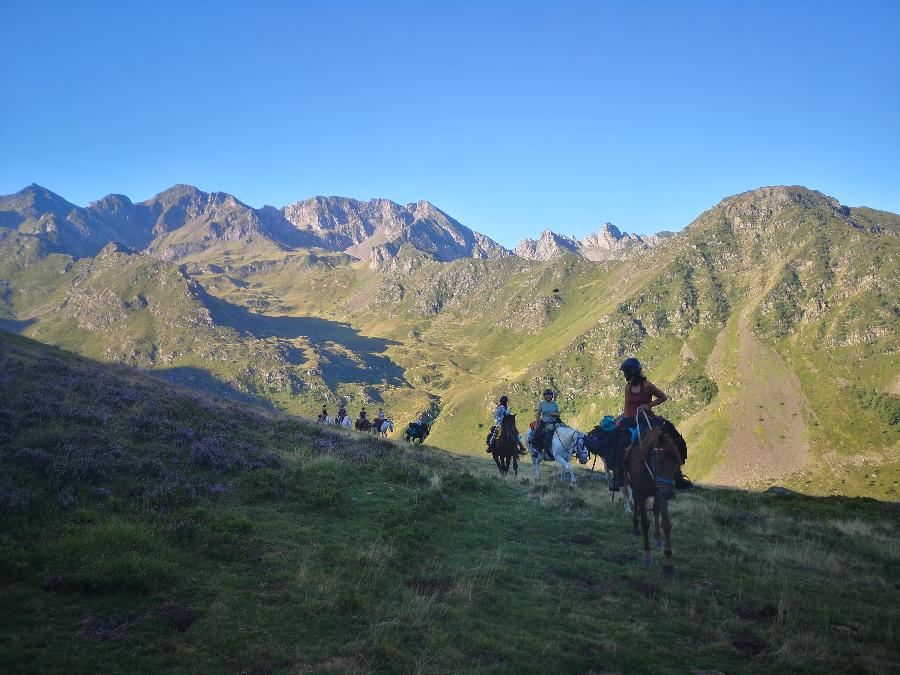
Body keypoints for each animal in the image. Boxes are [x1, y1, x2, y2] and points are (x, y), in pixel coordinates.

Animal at [624, 428, 684, 576]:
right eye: (660, 460)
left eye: (676, 461)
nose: (670, 493)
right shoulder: (641, 493)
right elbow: (645, 523)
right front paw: (647, 555)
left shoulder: (661, 492)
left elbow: (666, 524)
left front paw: (668, 562)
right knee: (637, 507)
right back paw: (636, 526)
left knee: (656, 509)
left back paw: (657, 537)